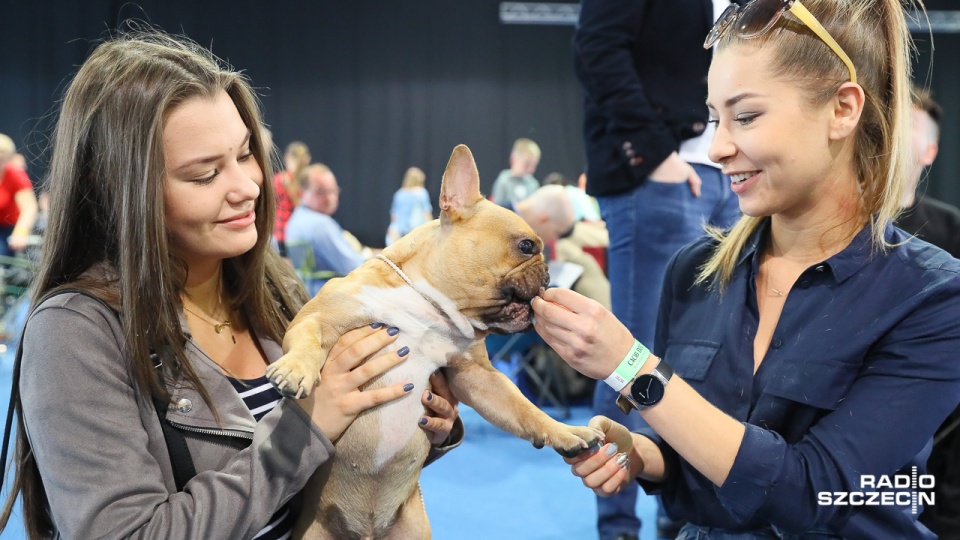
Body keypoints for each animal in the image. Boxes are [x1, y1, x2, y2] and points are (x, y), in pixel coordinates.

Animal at [266, 144, 604, 540]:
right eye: (526, 246)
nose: (548, 274)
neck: (427, 304)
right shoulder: (319, 318)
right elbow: (306, 339)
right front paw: (295, 369)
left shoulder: (477, 376)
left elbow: (524, 409)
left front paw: (565, 432)